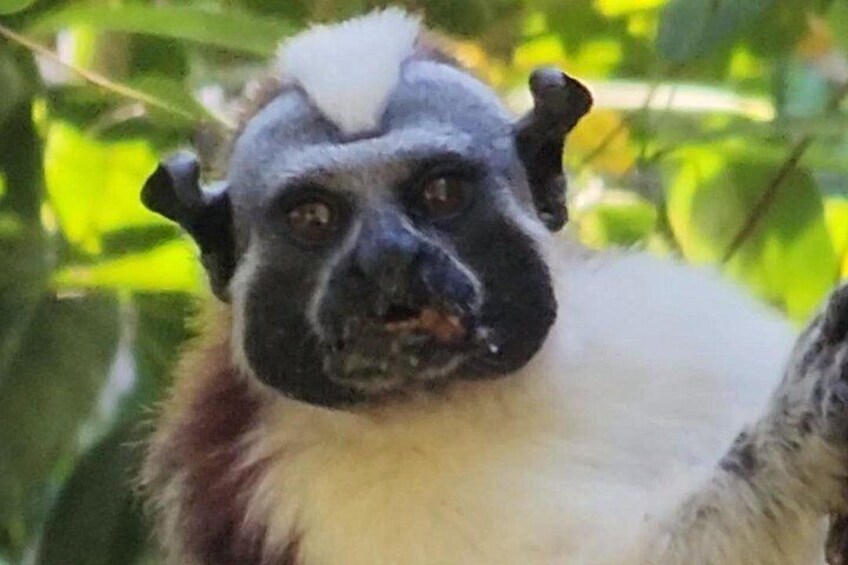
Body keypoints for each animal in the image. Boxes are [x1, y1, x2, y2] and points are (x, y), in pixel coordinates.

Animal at [139, 8, 848, 564]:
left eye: (440, 193)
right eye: (313, 217)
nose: (389, 258)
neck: (473, 396)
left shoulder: (677, 317)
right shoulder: (285, 488)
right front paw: (791, 447)